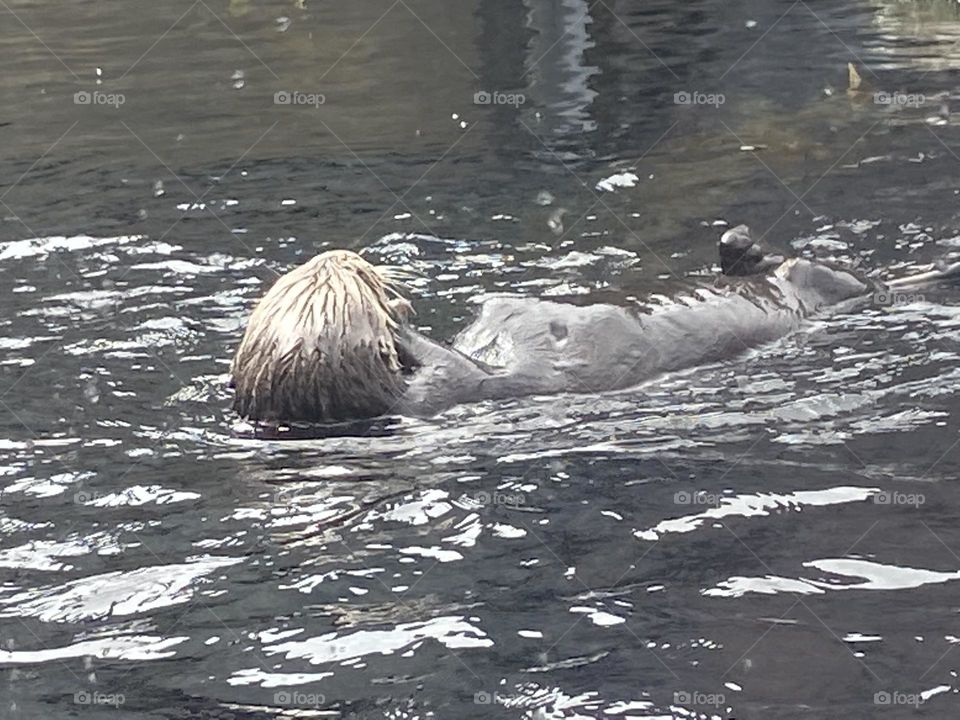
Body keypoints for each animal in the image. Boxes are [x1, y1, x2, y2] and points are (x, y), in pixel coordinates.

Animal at [230, 227, 960, 425]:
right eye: (346, 284)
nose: (347, 255)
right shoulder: (443, 388)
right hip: (822, 286)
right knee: (843, 280)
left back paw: (737, 247)